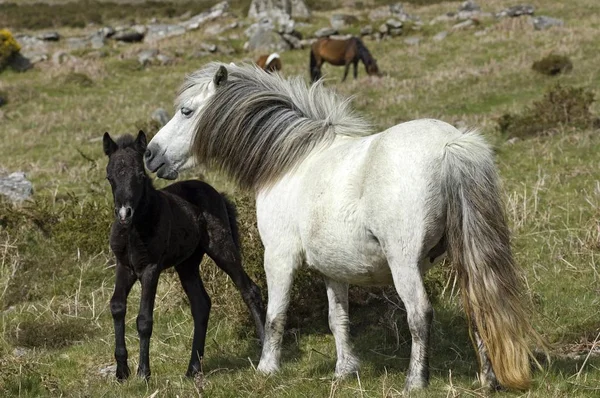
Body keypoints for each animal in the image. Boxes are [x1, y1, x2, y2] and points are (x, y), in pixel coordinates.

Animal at [103, 130, 264, 380]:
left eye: (140, 175)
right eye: (109, 177)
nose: (123, 213)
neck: (134, 230)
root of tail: (216, 192)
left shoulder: (150, 269)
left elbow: (144, 319)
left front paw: (143, 373)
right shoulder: (125, 267)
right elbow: (117, 307)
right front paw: (121, 371)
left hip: (222, 248)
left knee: (250, 291)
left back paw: (266, 350)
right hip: (187, 264)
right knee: (201, 305)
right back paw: (193, 368)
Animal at [144, 63, 544, 394]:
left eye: (186, 111)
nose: (150, 154)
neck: (291, 161)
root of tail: (450, 145)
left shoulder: (279, 257)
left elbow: (275, 315)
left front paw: (266, 369)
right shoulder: (333, 270)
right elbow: (337, 320)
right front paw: (344, 370)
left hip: (404, 262)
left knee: (419, 314)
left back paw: (415, 382)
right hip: (464, 254)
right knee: (479, 308)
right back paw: (488, 380)